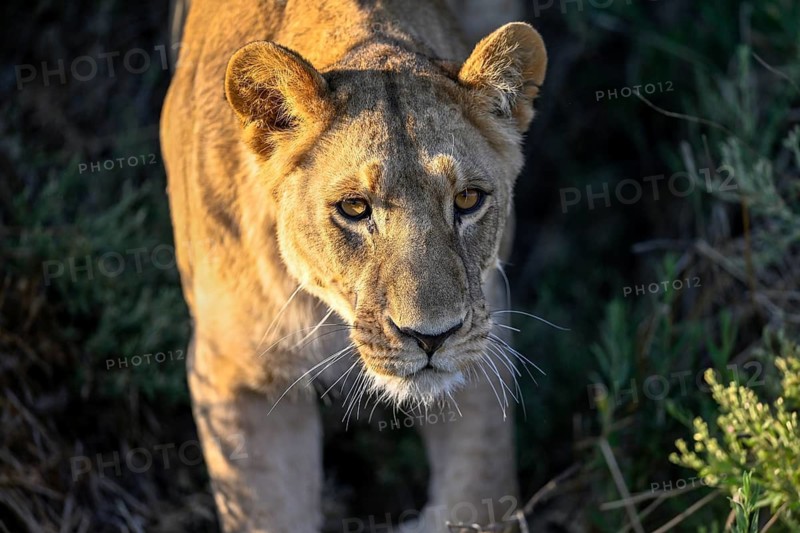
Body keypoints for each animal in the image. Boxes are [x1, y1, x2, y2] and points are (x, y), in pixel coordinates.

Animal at [160, 0, 547, 531]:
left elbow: (478, 493)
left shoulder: (483, 333)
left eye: (468, 199)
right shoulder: (234, 371)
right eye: (355, 208)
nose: (432, 338)